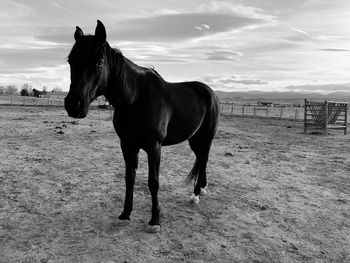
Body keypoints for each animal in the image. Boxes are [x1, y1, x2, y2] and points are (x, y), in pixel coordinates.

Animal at [65, 21, 219, 234]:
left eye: (99, 62)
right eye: (70, 61)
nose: (74, 105)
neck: (136, 99)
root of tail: (210, 92)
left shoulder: (154, 148)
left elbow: (153, 183)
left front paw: (154, 220)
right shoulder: (128, 145)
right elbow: (129, 178)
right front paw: (125, 215)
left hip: (206, 137)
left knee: (203, 159)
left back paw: (196, 194)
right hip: (194, 139)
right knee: (201, 159)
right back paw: (201, 189)